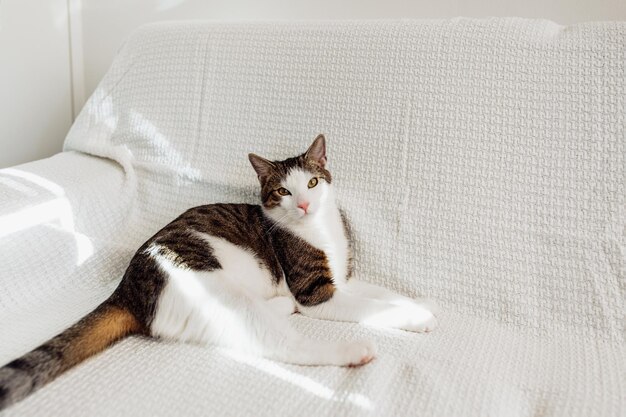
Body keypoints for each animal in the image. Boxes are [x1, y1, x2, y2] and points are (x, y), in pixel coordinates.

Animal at [0, 135, 436, 408]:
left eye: (313, 182)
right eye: (283, 191)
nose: (304, 205)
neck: (320, 229)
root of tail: (127, 286)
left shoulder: (344, 279)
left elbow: (380, 292)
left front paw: (420, 303)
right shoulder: (315, 292)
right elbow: (369, 307)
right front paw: (415, 317)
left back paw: (281, 307)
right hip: (209, 282)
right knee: (281, 345)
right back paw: (351, 351)